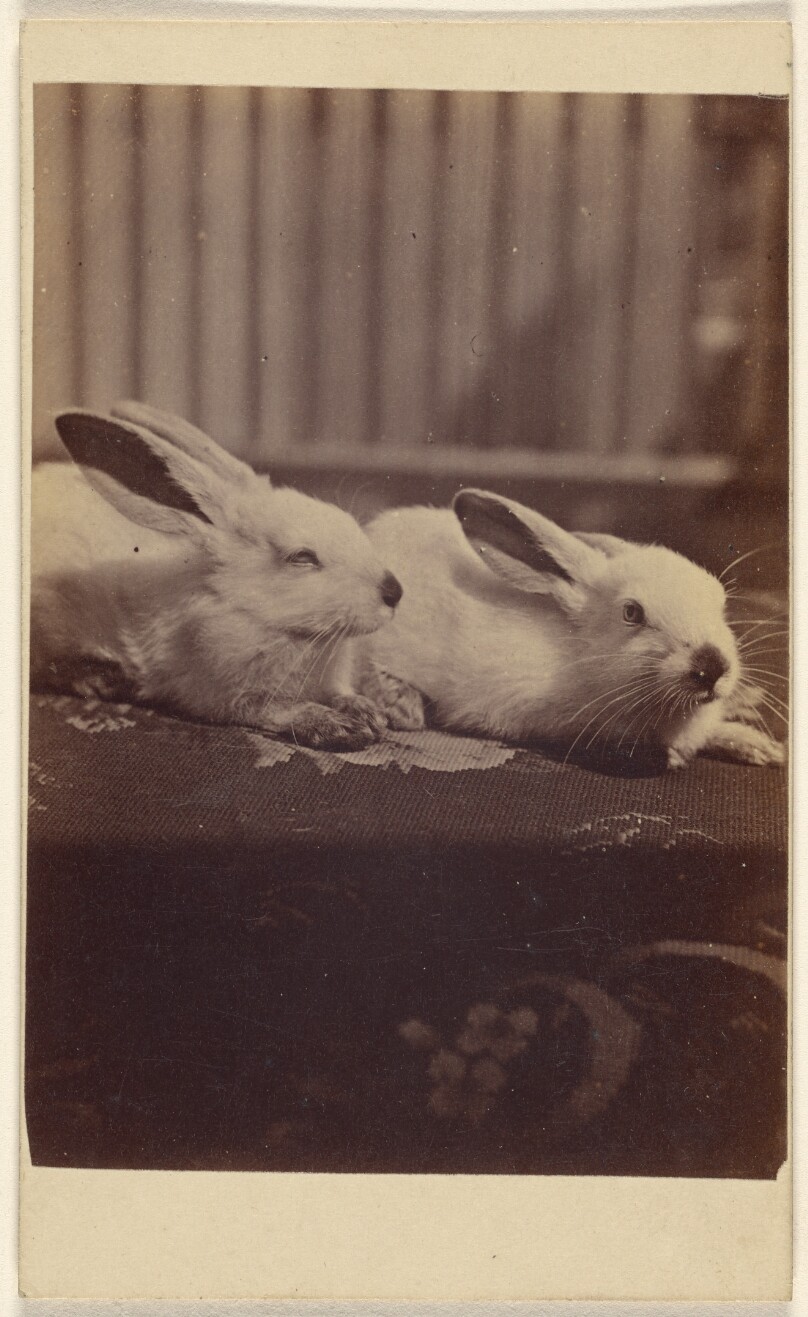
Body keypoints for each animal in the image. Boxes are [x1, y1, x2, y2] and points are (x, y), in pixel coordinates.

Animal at [30, 402, 403, 750]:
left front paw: (367, 711)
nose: (394, 592)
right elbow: (278, 708)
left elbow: (341, 693)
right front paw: (337, 726)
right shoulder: (223, 695)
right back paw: (100, 679)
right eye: (302, 557)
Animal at [359, 488, 786, 770]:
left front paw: (761, 747)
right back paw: (402, 704)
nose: (712, 667)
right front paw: (671, 756)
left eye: (720, 602)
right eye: (632, 613)